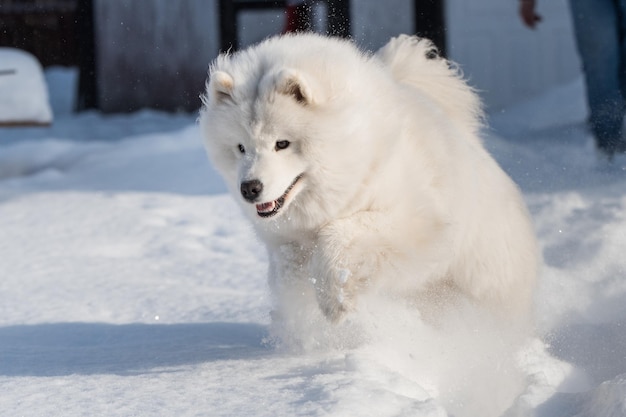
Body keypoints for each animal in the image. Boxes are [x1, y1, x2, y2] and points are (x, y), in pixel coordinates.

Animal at [200, 34, 536, 330]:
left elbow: (340, 235)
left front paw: (335, 302)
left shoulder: (416, 221)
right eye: (241, 147)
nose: (249, 188)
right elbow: (291, 269)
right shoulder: (286, 241)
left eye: (282, 144)